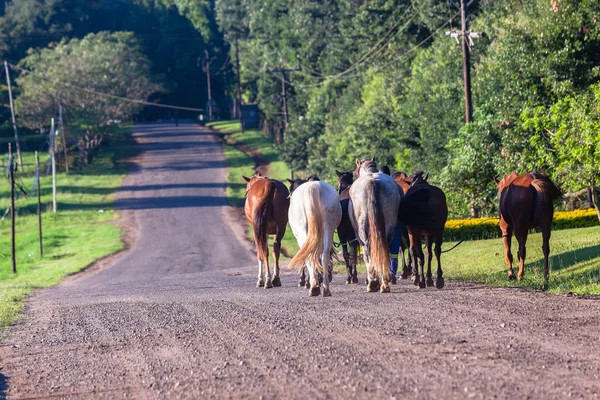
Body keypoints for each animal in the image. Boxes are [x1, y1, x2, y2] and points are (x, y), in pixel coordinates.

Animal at [350, 159, 400, 294]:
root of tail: (372, 182)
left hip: (362, 230)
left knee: (368, 250)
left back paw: (372, 283)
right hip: (389, 226)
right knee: (385, 248)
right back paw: (385, 284)